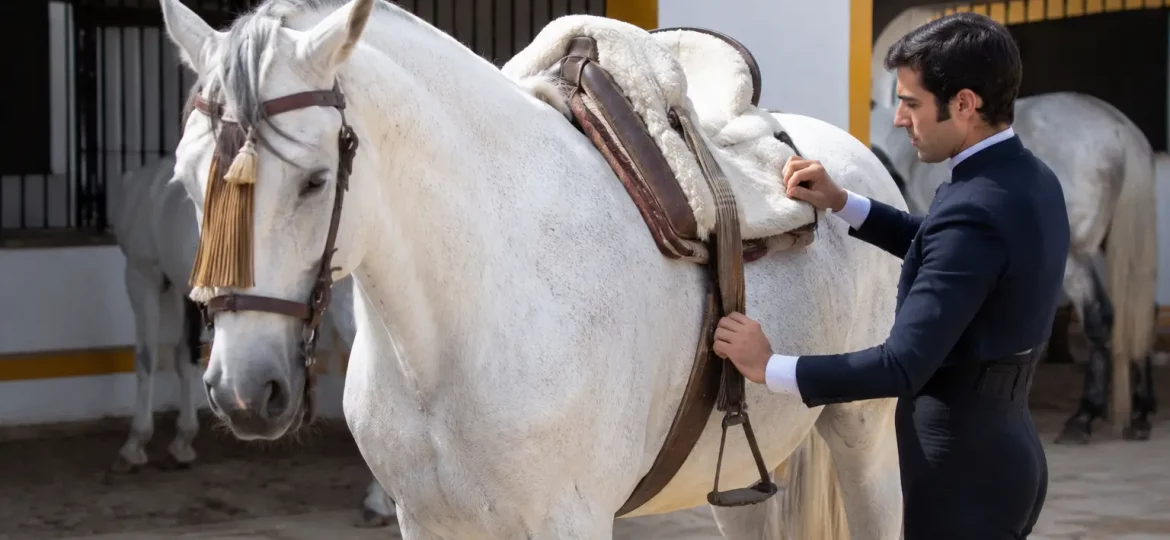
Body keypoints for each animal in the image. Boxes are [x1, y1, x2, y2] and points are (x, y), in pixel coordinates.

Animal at [107, 156, 396, 527]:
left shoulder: (144, 275)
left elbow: (145, 359)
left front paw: (135, 445)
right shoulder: (183, 290)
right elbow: (185, 358)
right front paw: (182, 441)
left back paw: (378, 498)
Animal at [157, 0, 908, 538]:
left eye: (314, 181)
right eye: (188, 181)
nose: (243, 392)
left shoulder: (568, 518)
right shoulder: (427, 521)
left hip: (862, 435)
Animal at [869, 89, 1160, 444]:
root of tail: (1122, 131)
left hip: (1076, 258)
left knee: (1099, 317)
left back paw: (1083, 416)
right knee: (1138, 316)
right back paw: (1139, 412)